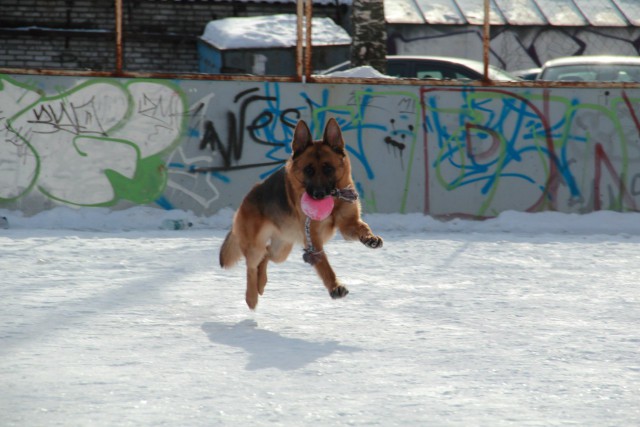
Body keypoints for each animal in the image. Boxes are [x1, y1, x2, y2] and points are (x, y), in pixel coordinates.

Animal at [220, 118, 382, 310]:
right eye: (308, 170)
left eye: (328, 169)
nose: (319, 195)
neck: (334, 201)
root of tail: (246, 199)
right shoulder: (314, 239)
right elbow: (324, 265)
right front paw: (335, 286)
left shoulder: (349, 224)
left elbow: (363, 228)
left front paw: (370, 238)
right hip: (255, 248)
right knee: (251, 267)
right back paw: (251, 297)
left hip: (281, 251)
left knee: (266, 256)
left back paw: (262, 283)